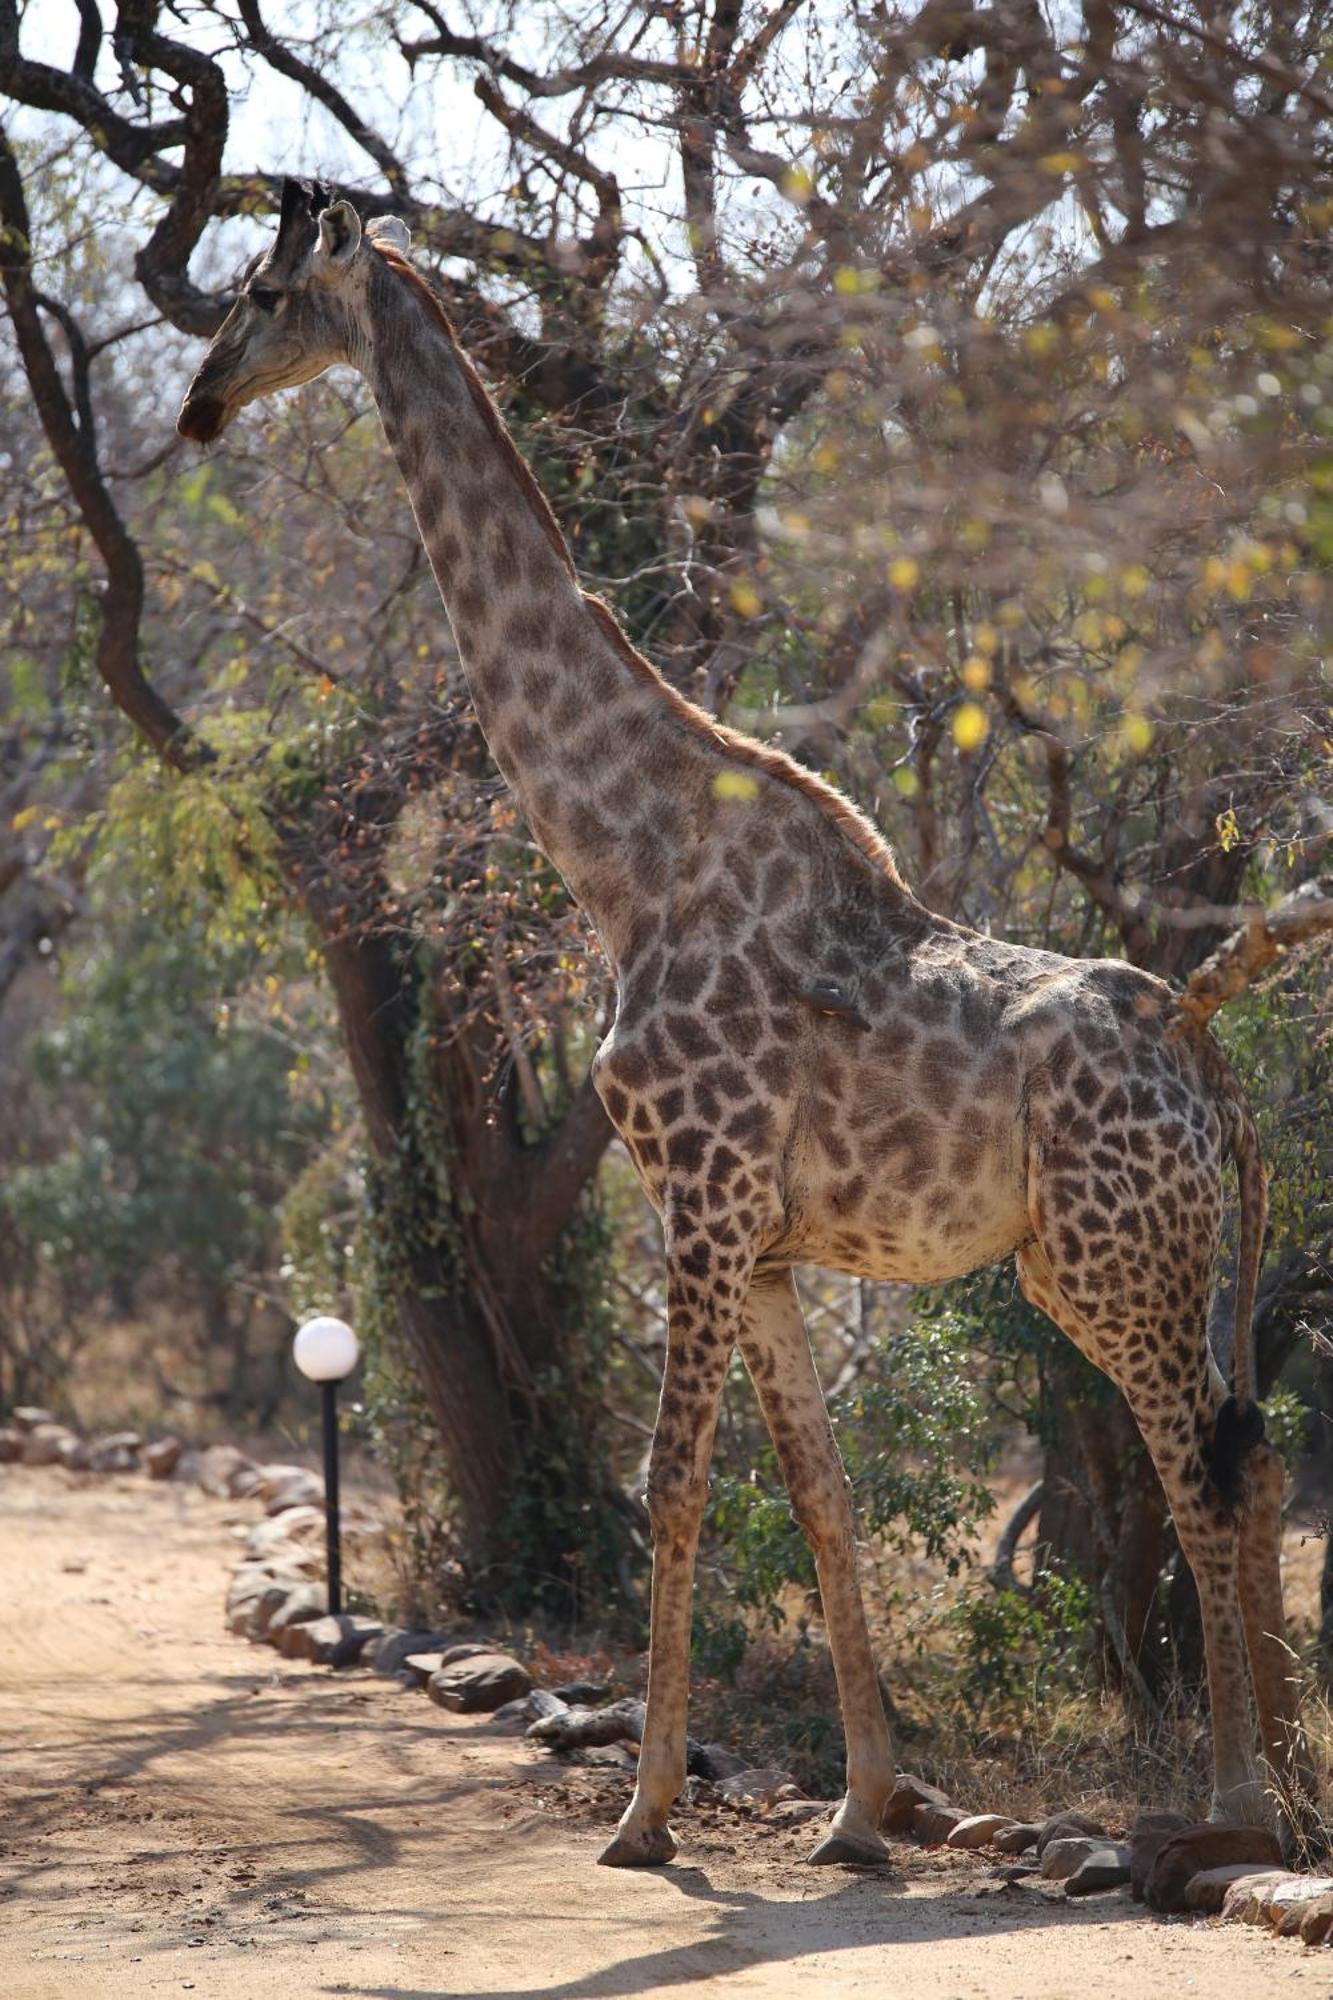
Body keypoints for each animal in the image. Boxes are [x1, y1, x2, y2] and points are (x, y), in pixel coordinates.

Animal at [179, 188, 1320, 1872]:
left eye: (262, 292)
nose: (198, 405)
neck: (629, 860)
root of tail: (1215, 1078)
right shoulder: (770, 1243)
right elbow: (820, 1494)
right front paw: (859, 1808)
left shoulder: (701, 1196)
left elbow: (674, 1485)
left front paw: (645, 1814)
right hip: (1133, 1263)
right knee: (1250, 1453)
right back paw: (1281, 1801)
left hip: (1109, 1262)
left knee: (1209, 1476)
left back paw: (1231, 1817)